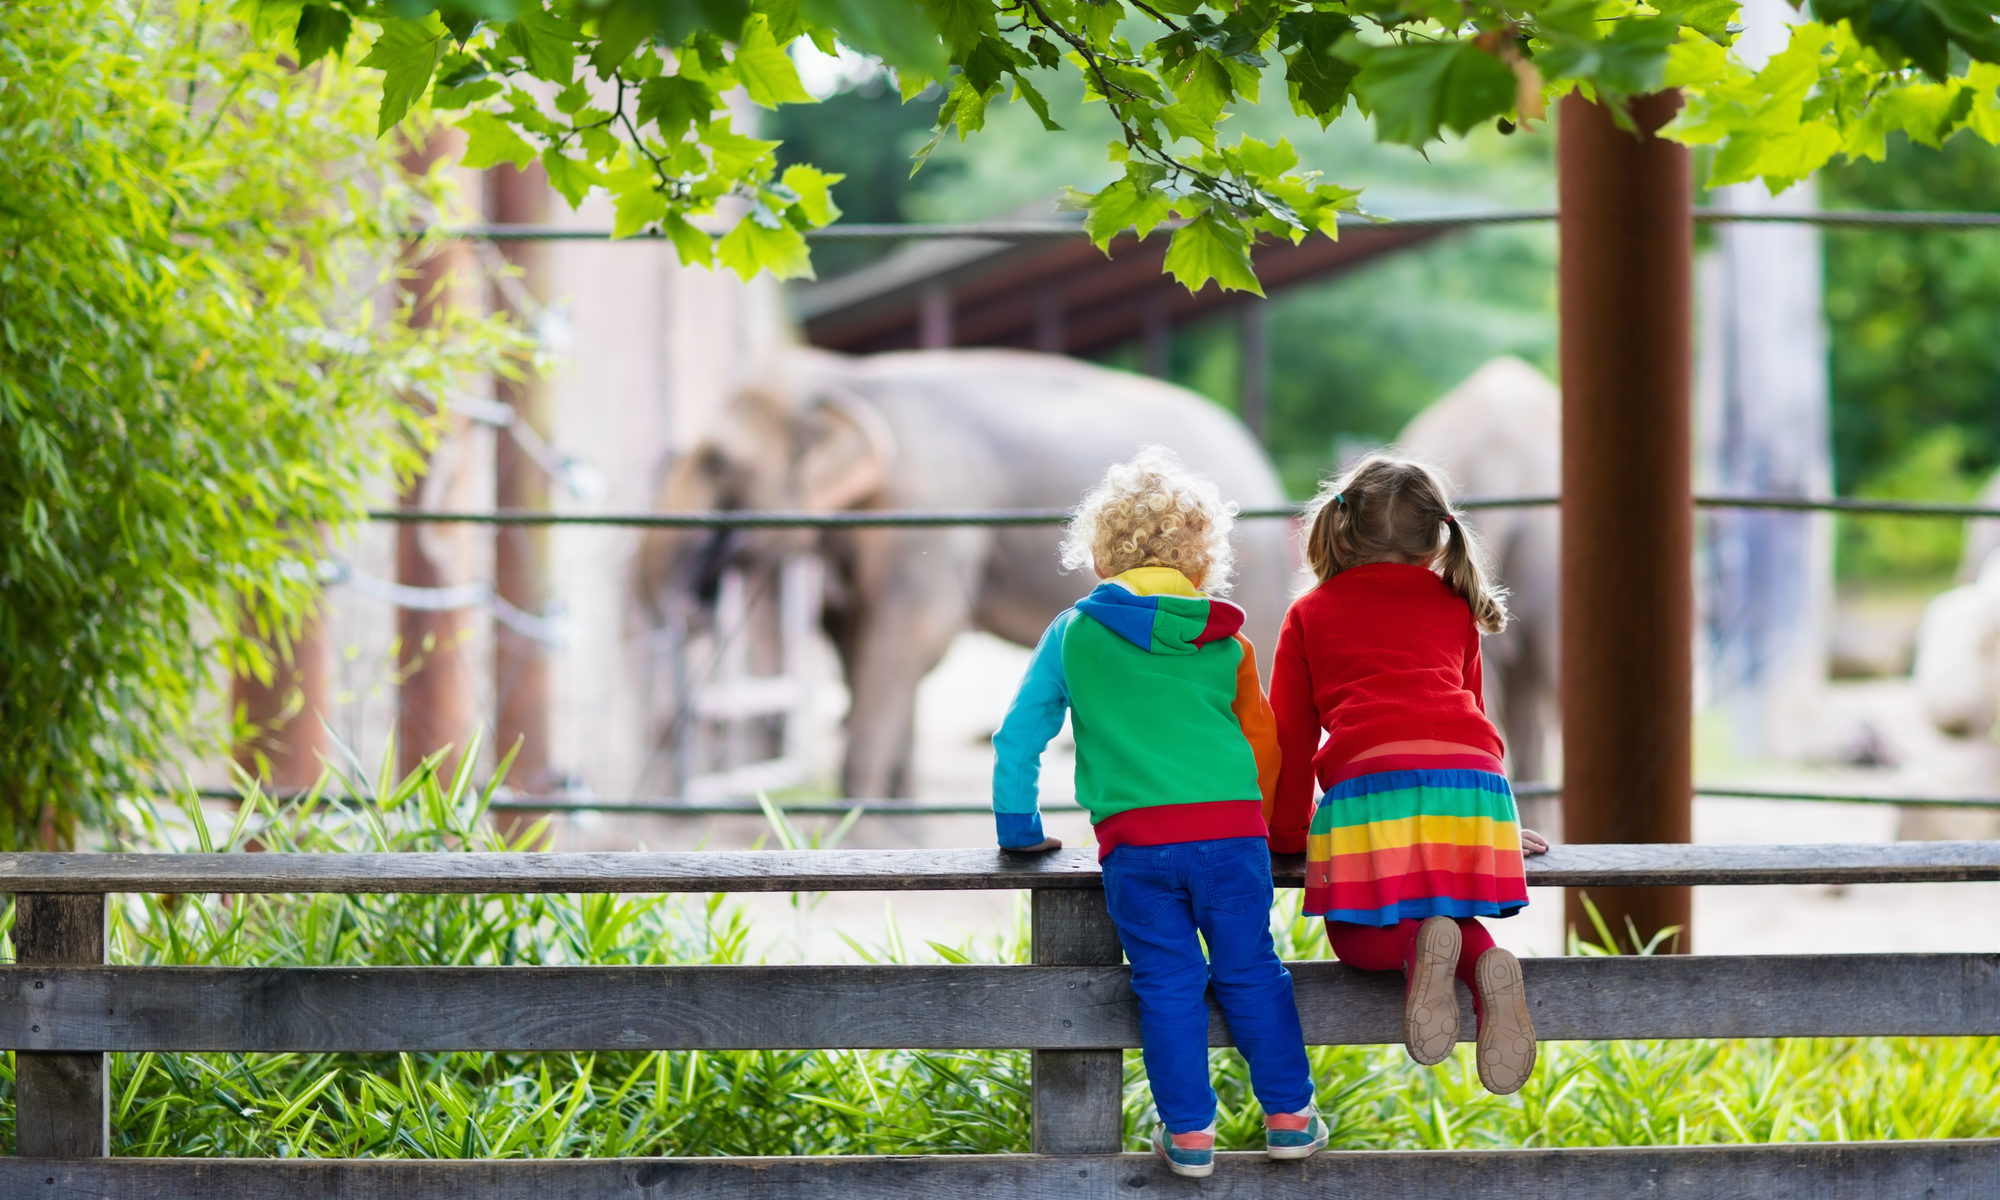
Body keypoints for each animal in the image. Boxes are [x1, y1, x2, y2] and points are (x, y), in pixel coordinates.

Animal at [640, 344, 1296, 796]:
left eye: (719, 462)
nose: (689, 603)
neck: (852, 379)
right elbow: (862, 643)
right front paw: (890, 819)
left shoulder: (925, 511)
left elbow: (911, 638)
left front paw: (858, 822)